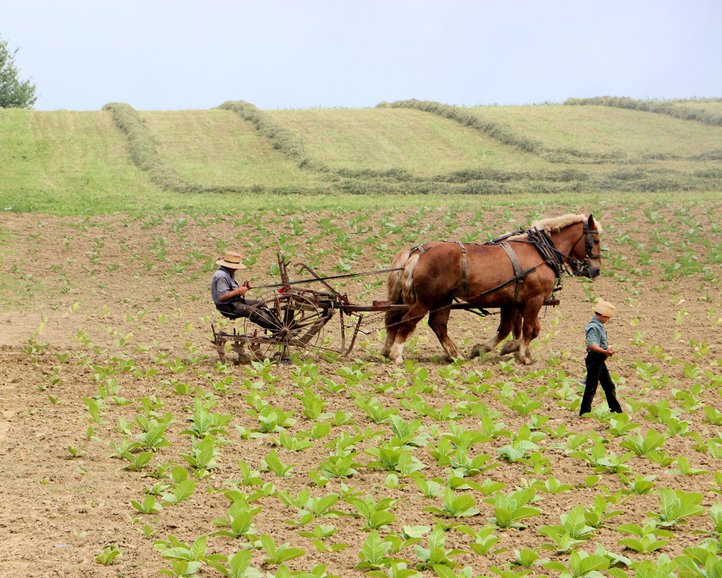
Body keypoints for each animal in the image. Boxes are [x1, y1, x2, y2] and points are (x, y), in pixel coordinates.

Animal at [382, 214, 600, 362]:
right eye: (596, 240)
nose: (596, 270)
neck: (540, 251)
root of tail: (418, 252)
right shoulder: (534, 300)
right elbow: (528, 328)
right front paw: (524, 356)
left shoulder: (512, 302)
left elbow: (513, 329)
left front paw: (500, 348)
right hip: (427, 300)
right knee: (408, 320)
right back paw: (396, 354)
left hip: (443, 299)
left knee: (436, 325)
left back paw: (455, 354)